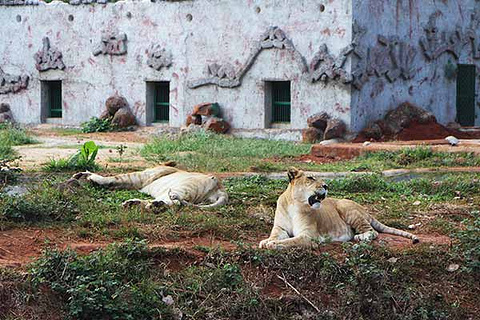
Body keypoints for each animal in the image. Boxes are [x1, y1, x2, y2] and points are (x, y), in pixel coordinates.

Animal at [72, 162, 228, 210]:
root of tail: (220, 188)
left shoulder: (140, 177)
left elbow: (114, 178)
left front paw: (87, 176)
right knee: (168, 202)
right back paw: (136, 204)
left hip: (181, 187)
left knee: (175, 202)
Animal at [258, 169, 420, 249]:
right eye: (310, 178)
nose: (326, 186)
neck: (294, 204)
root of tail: (364, 210)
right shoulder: (280, 229)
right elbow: (275, 236)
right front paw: (267, 241)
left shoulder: (308, 236)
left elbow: (290, 242)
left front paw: (273, 244)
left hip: (346, 207)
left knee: (372, 231)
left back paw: (361, 237)